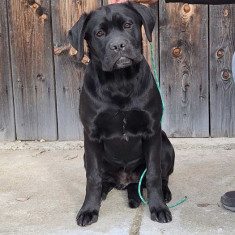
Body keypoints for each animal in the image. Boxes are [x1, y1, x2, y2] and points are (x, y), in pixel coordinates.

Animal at [68, 1, 174, 226]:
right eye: (99, 33)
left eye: (127, 25)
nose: (118, 46)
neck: (119, 82)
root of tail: (127, 182)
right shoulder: (91, 135)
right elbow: (93, 178)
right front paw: (88, 209)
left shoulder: (152, 131)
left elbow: (153, 174)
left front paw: (158, 207)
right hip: (87, 155)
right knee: (104, 179)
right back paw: (103, 193)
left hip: (166, 145)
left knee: (161, 177)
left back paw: (165, 193)